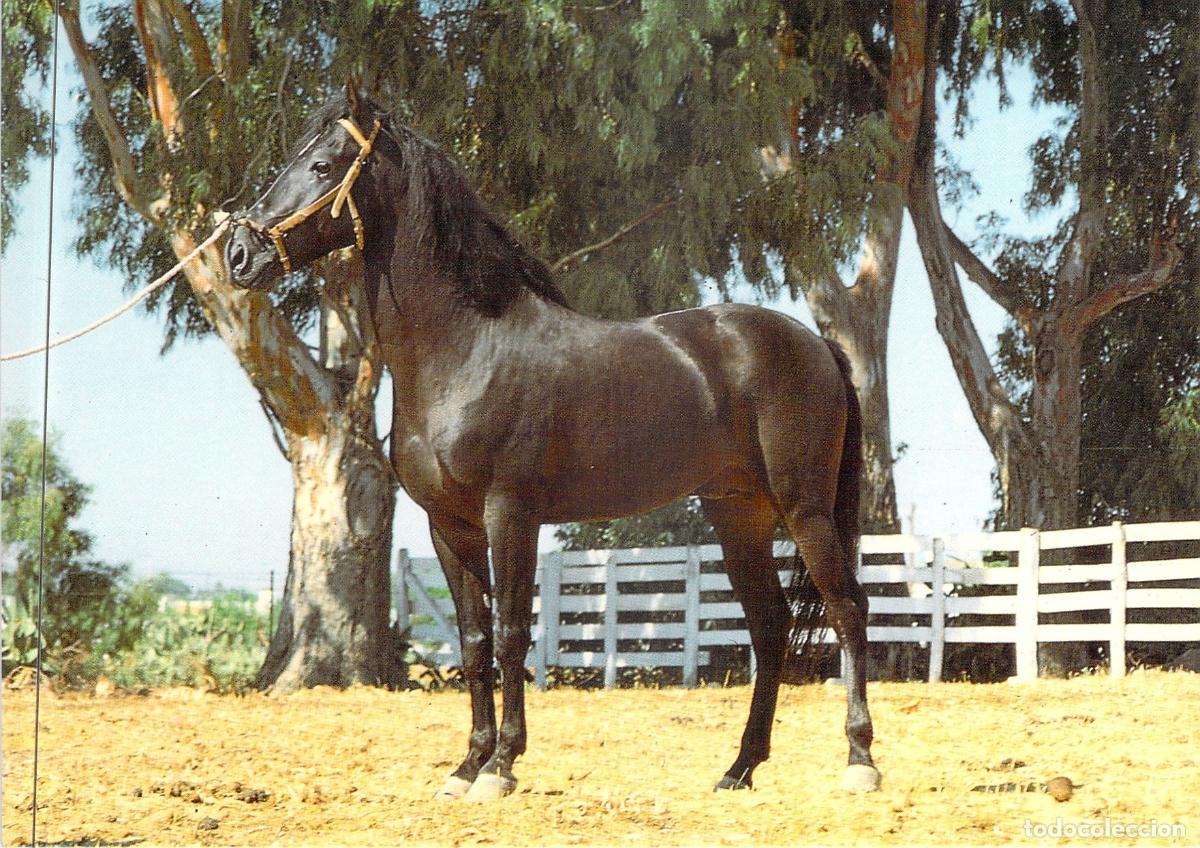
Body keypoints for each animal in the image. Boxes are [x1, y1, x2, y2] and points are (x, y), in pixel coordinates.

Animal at [225, 84, 879, 801]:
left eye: (322, 166)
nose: (239, 254)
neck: (466, 347)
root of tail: (818, 344)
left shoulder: (510, 513)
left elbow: (513, 634)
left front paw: (502, 767)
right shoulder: (447, 526)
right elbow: (474, 640)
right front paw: (466, 766)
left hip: (804, 508)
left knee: (848, 608)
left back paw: (859, 760)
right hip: (740, 517)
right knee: (771, 627)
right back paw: (739, 769)